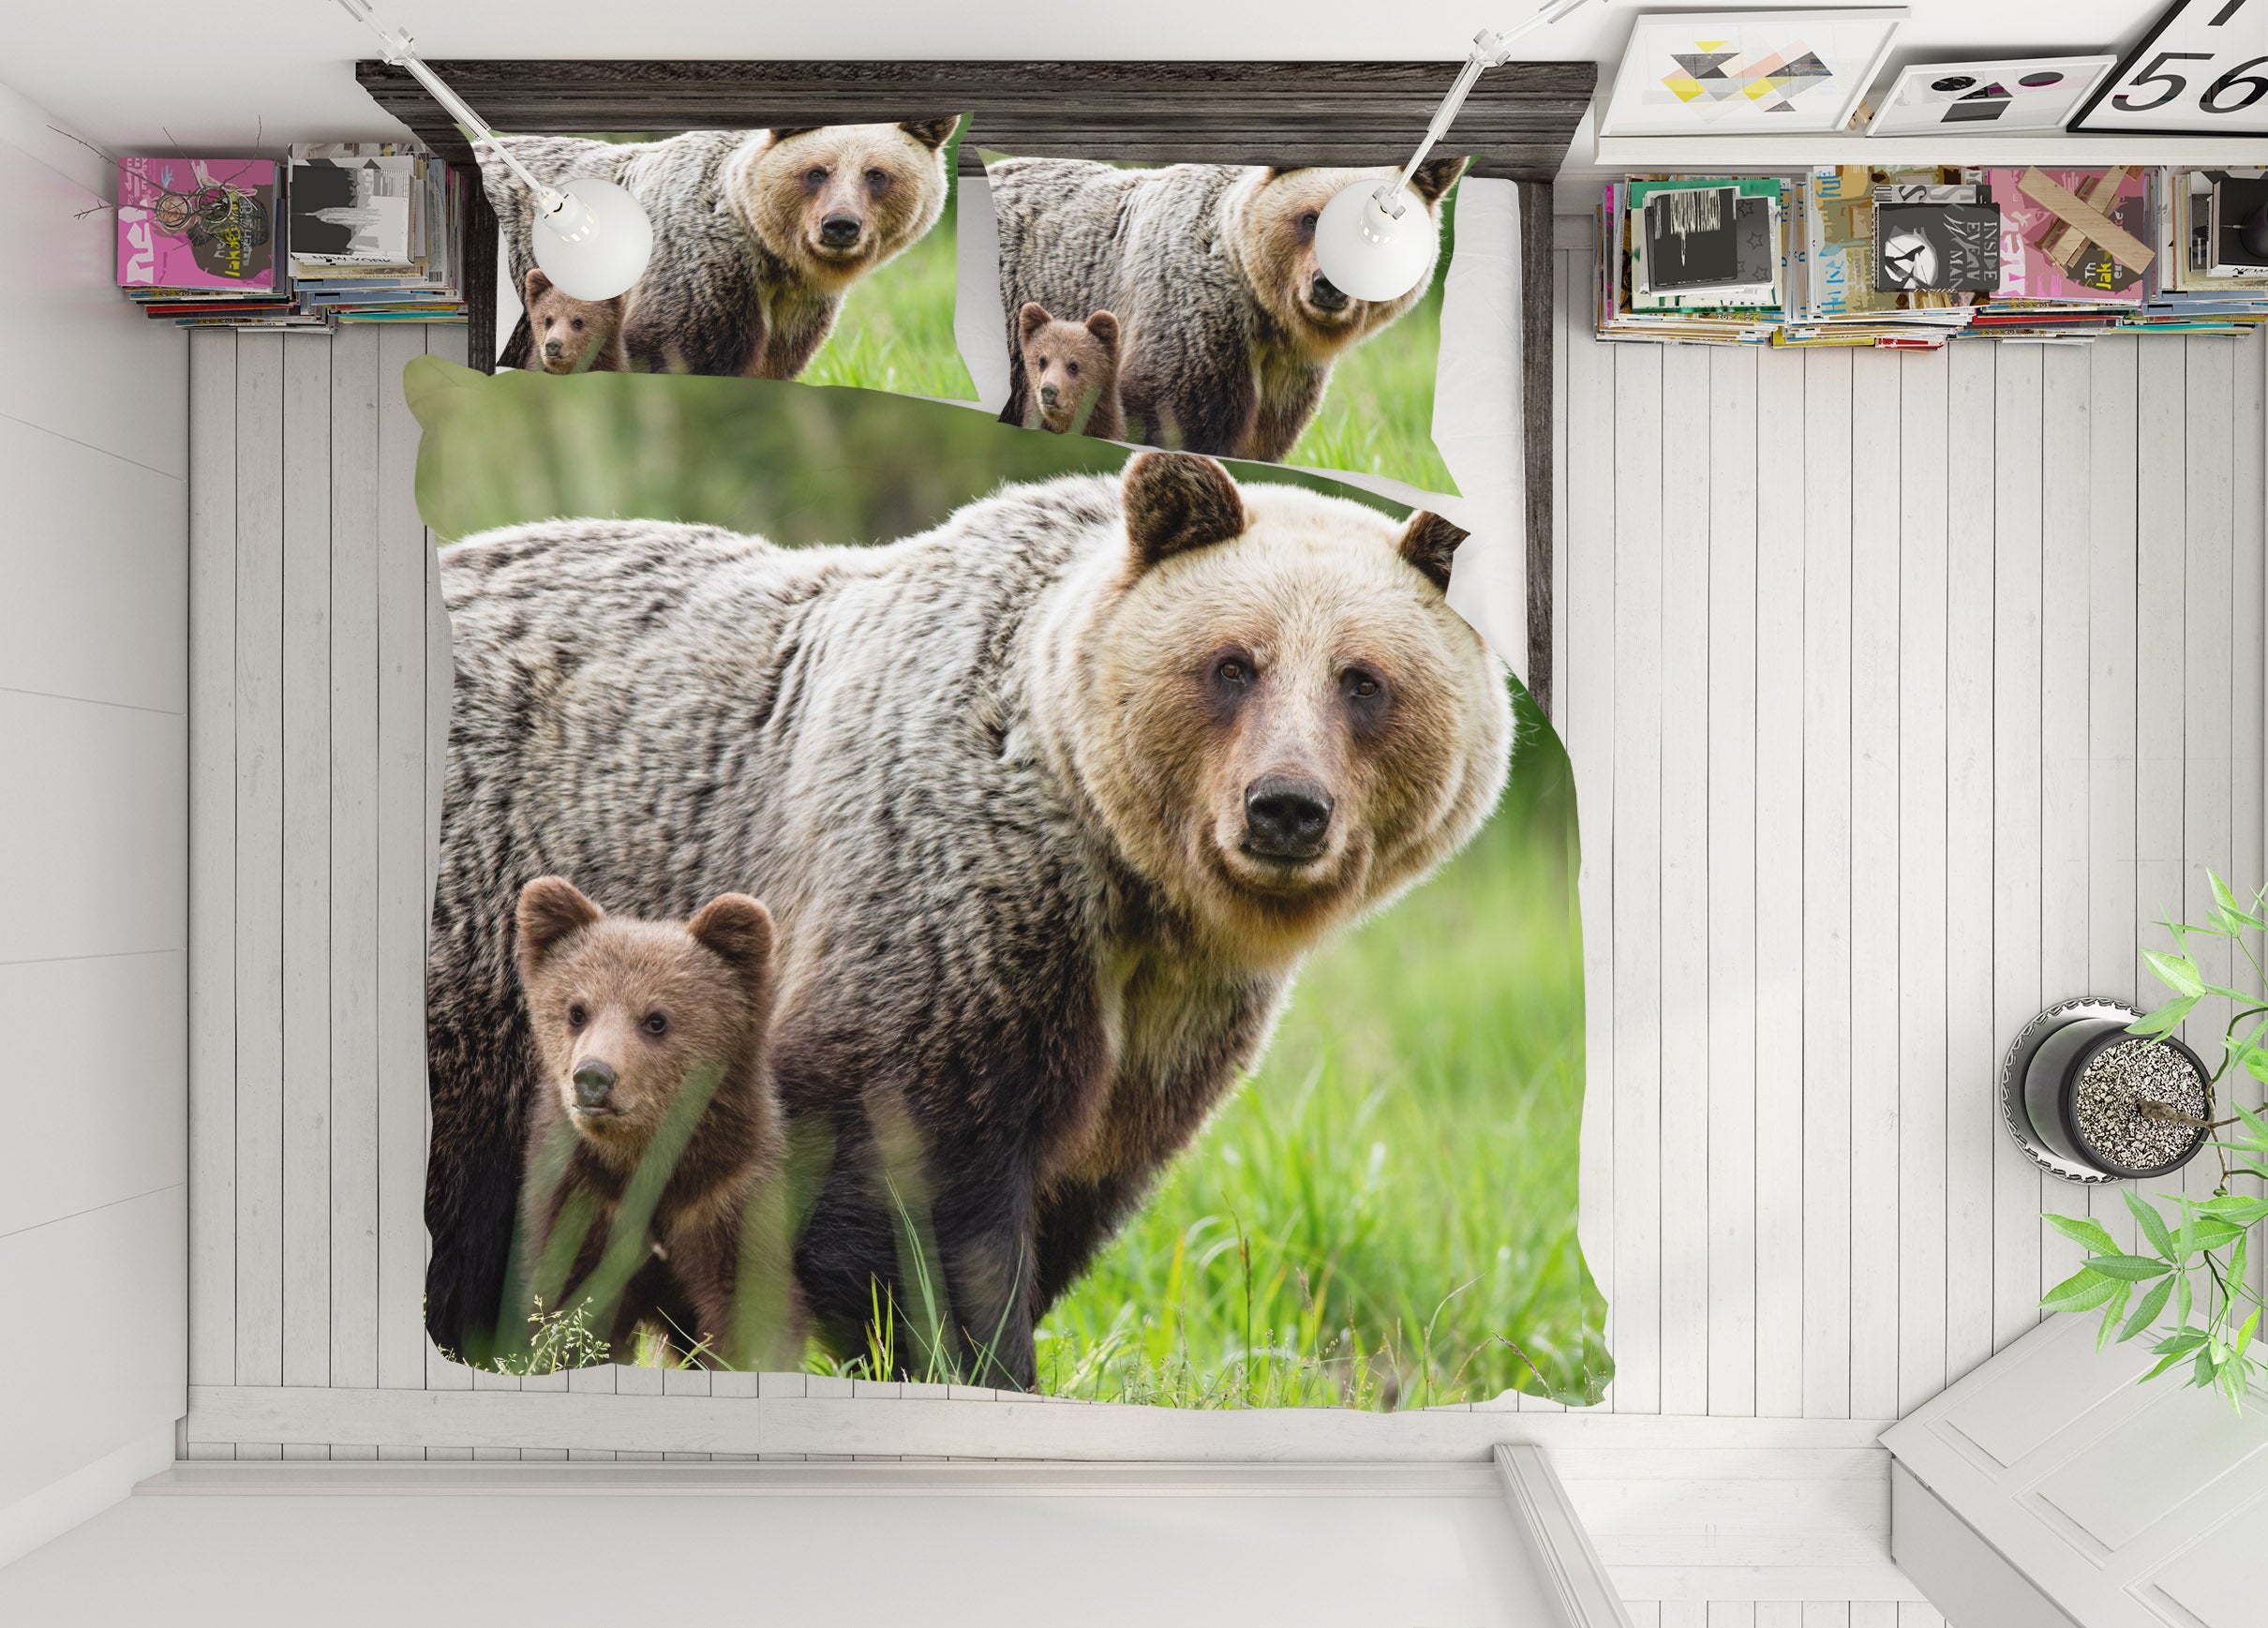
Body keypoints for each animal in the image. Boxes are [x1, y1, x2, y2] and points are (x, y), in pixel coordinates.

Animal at [484, 119, 960, 379]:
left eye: (876, 174)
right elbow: (676, 352)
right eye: (817, 172)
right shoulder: (701, 278)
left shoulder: (795, 312)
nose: (840, 225)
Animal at [510, 876, 804, 1370]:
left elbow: (747, 1311)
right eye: (576, 1010)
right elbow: (571, 1313)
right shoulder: (584, 1201)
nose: (593, 1077)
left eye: (656, 1019)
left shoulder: (726, 1198)